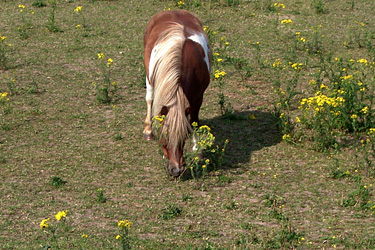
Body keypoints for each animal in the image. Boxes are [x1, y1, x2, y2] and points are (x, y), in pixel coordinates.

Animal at [143, 10, 212, 178]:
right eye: (164, 137)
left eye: (183, 137)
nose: (176, 170)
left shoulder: (197, 98)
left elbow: (194, 121)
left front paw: (197, 149)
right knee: (149, 99)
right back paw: (148, 131)